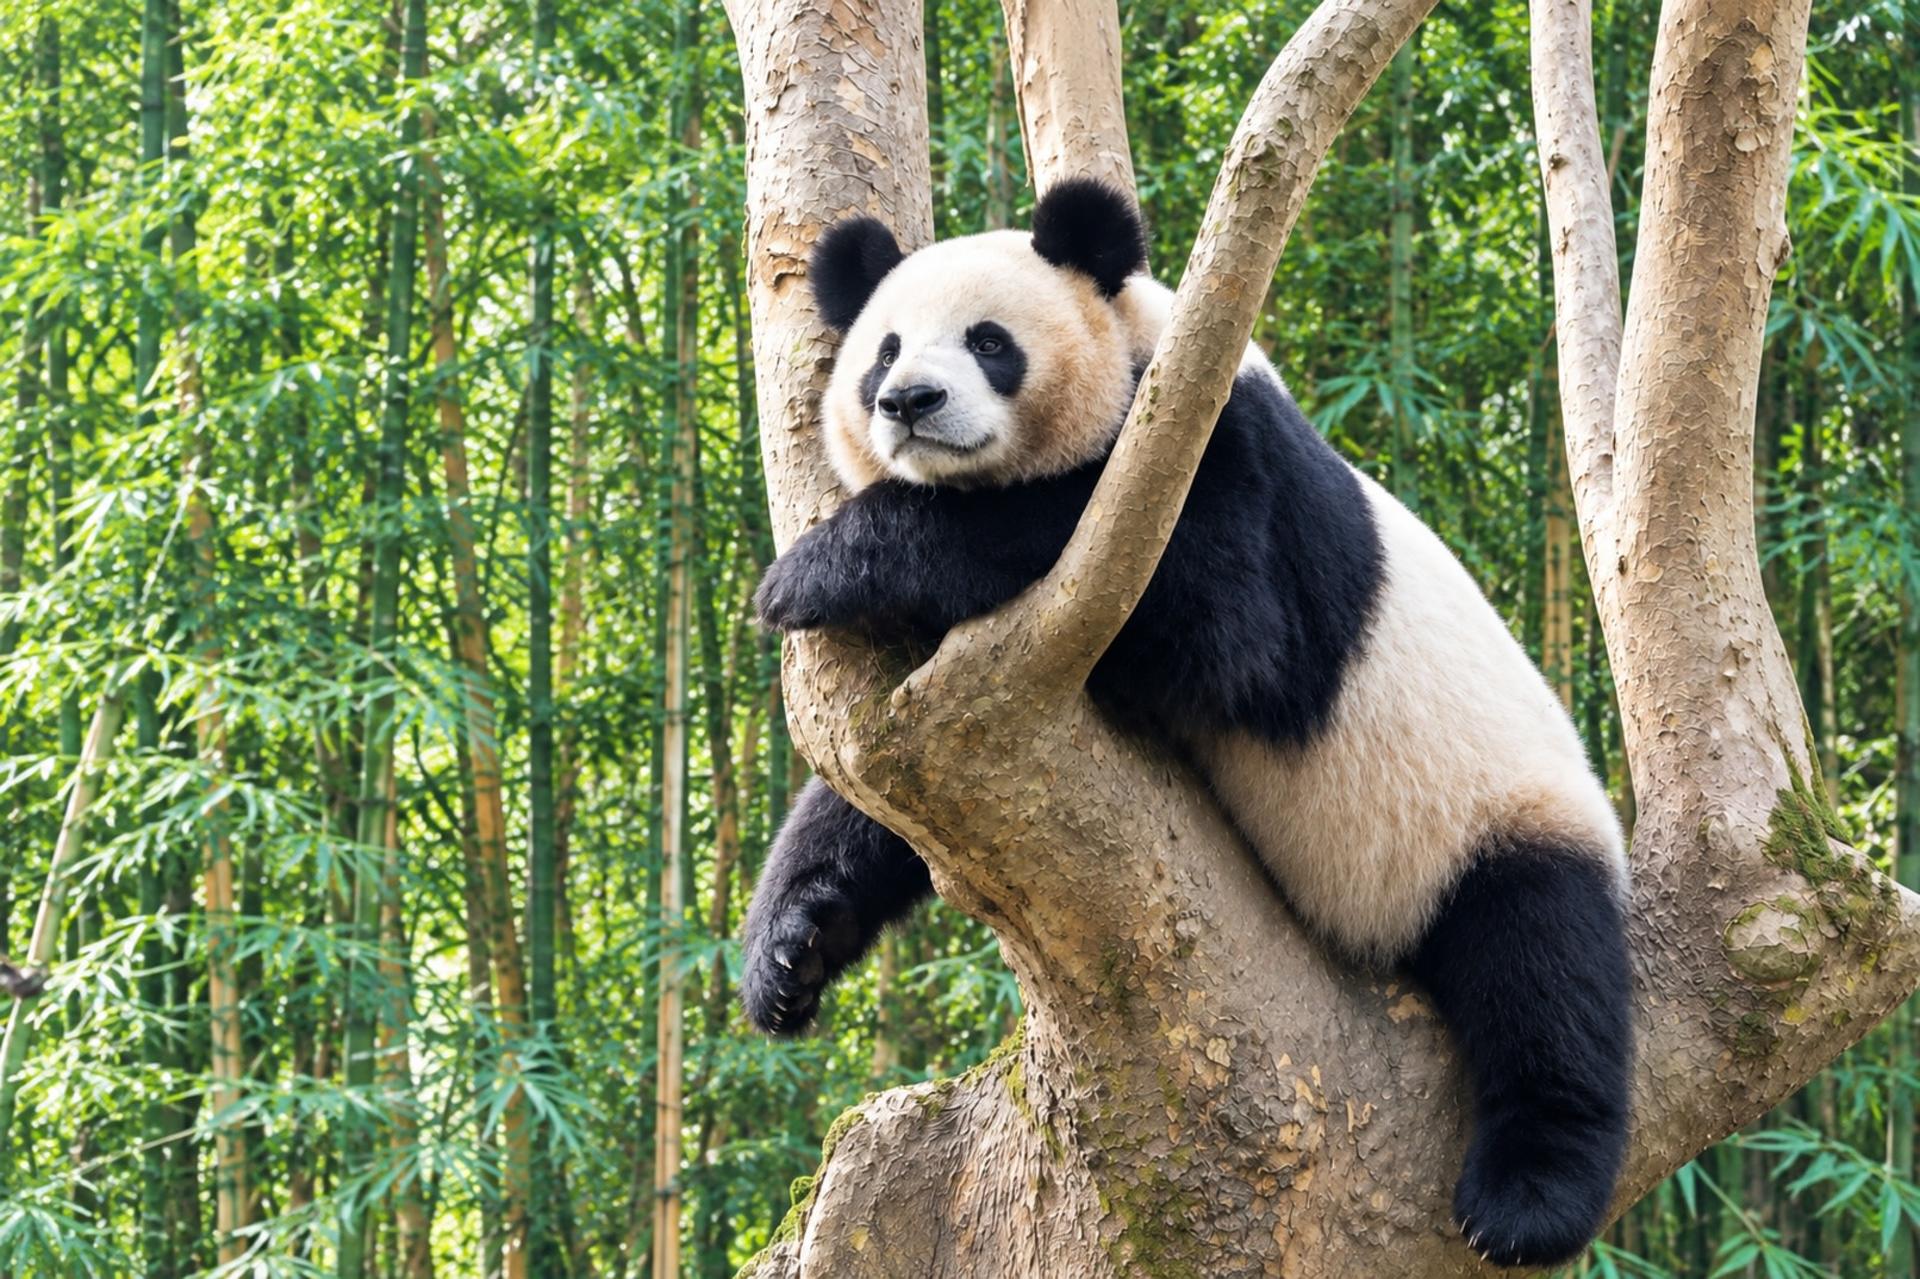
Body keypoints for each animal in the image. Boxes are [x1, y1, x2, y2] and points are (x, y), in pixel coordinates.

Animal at [741, 179, 1632, 1268]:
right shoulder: (958, 709)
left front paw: (823, 566)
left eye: (990, 342)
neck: (1143, 363)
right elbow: (880, 799)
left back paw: (1528, 1198)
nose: (907, 401)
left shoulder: (1207, 458)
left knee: (1544, 966)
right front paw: (790, 952)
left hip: (1500, 812)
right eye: (884, 349)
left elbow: (1214, 622)